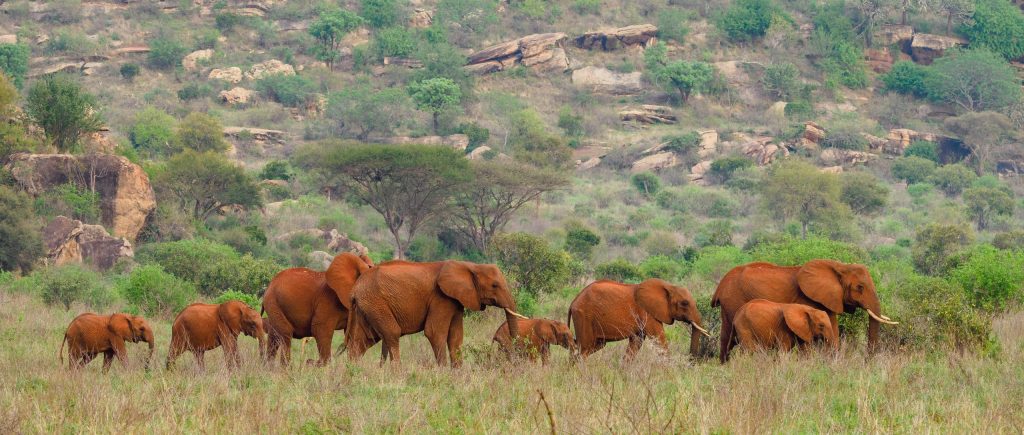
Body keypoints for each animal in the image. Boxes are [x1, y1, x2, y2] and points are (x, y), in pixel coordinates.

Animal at [345, 260, 526, 367]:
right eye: (495, 285)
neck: (469, 266)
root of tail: (354, 289)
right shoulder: (441, 298)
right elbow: (435, 332)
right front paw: (443, 372)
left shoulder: (456, 300)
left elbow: (455, 337)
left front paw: (458, 374)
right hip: (375, 302)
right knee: (392, 333)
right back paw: (397, 373)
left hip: (367, 306)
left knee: (361, 340)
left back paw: (354, 372)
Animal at [567, 279, 710, 361]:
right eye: (685, 303)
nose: (691, 361)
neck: (669, 286)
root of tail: (573, 302)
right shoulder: (647, 312)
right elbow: (659, 339)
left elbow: (636, 342)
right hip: (583, 316)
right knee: (584, 348)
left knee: (591, 346)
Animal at [712, 260, 899, 363]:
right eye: (860, 287)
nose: (868, 361)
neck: (838, 266)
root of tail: (720, 285)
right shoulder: (807, 299)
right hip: (734, 300)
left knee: (726, 338)